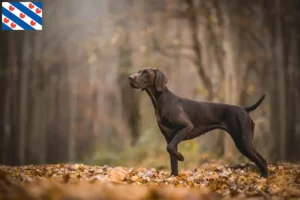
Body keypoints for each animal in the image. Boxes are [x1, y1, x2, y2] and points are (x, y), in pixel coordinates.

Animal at [127, 68, 268, 177]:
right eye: (139, 71)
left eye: (145, 73)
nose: (130, 77)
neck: (161, 101)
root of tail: (244, 108)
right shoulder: (170, 137)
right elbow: (172, 160)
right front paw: (173, 177)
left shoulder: (186, 127)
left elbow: (170, 148)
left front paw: (180, 157)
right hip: (247, 141)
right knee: (262, 160)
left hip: (242, 141)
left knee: (262, 160)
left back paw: (264, 179)